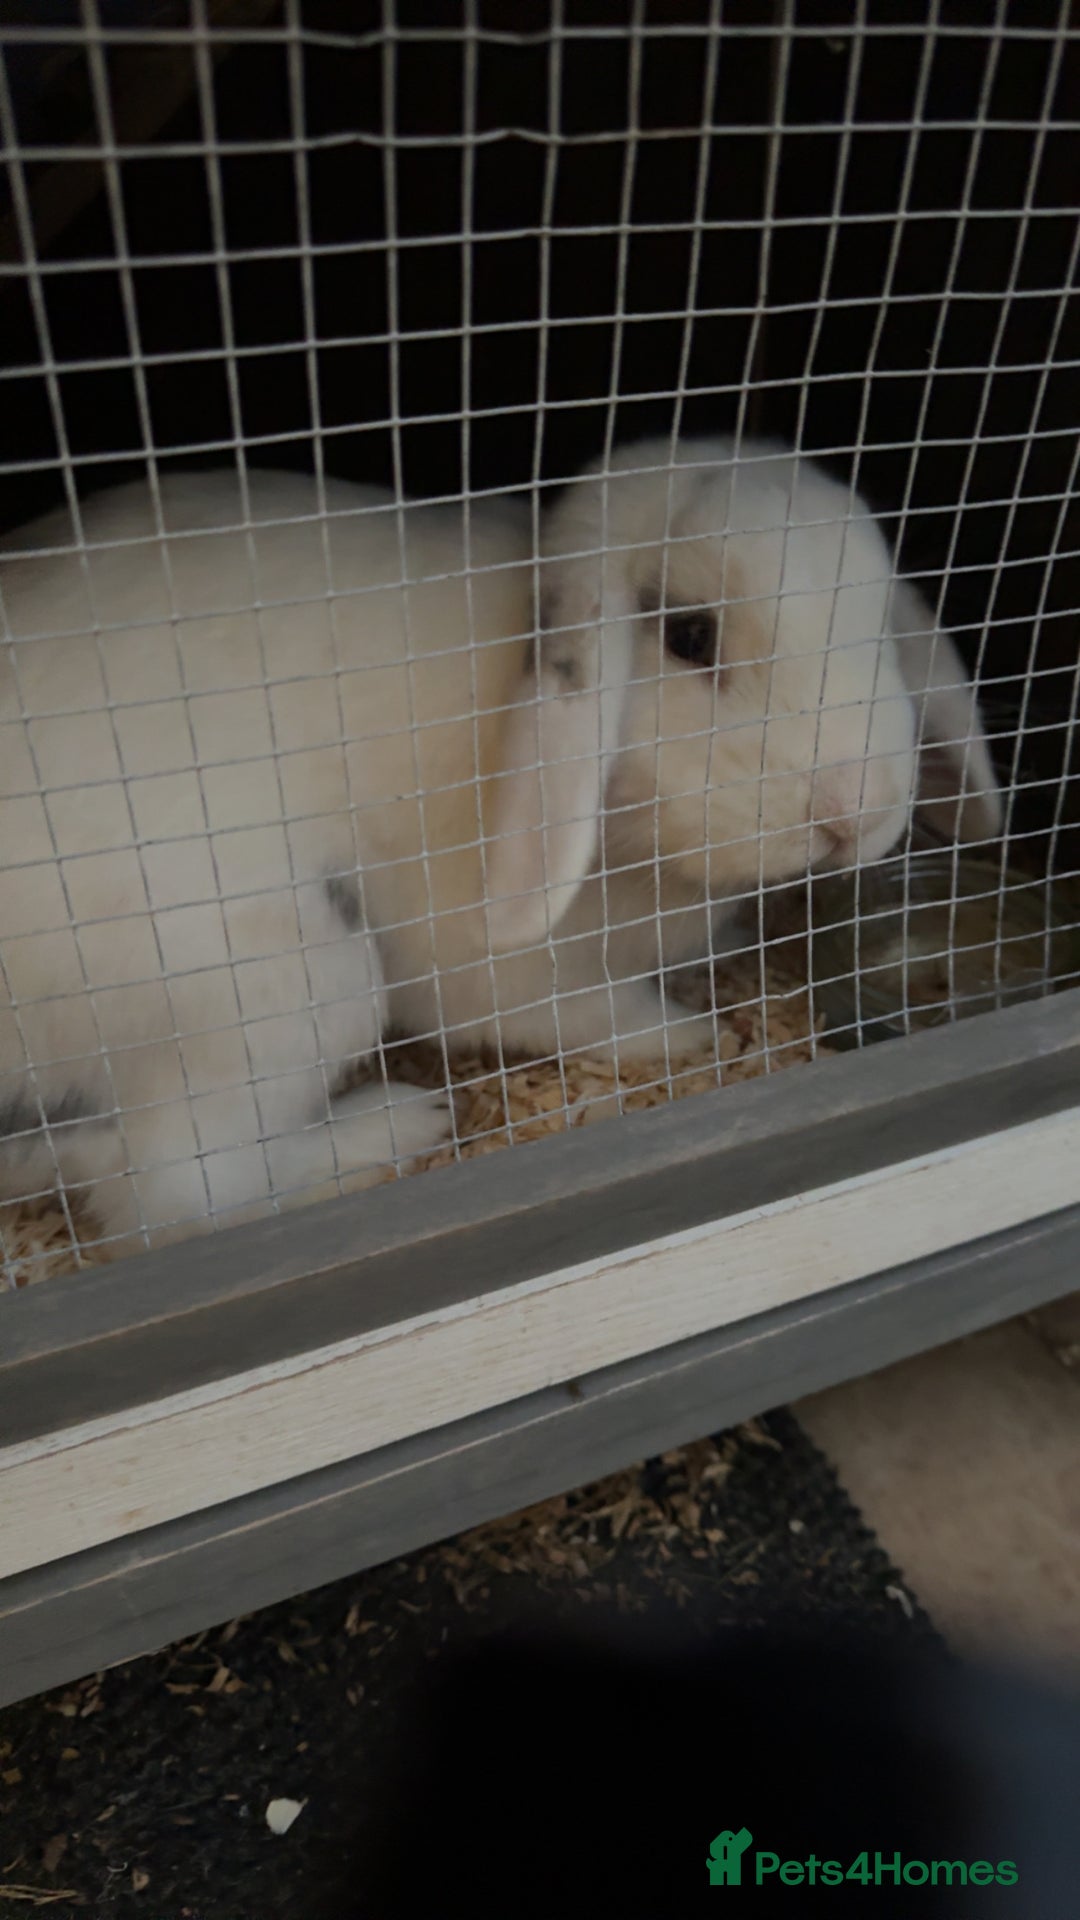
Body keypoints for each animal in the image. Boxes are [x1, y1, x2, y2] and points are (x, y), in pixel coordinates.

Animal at [0, 437, 1000, 1253]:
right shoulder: (507, 976)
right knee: (176, 1197)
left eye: (881, 630)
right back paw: (398, 1123)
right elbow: (584, 1016)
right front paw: (689, 1033)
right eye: (689, 635)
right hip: (292, 983)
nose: (854, 810)